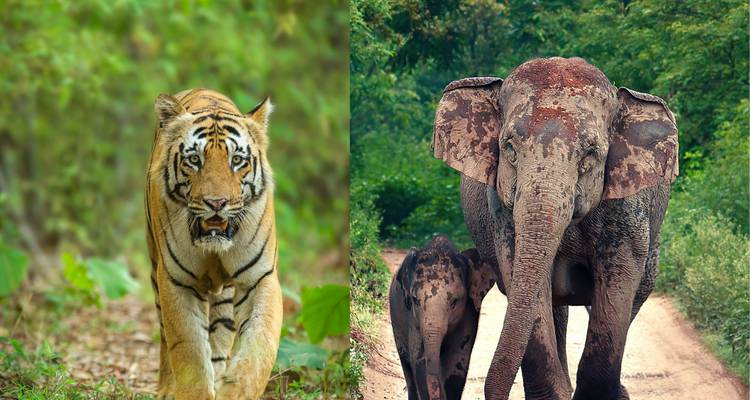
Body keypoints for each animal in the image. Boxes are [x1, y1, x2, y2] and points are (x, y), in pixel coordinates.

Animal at [145, 88, 282, 400]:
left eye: (237, 160)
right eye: (194, 159)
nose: (216, 203)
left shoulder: (260, 278)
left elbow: (260, 344)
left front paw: (238, 390)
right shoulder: (176, 281)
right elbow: (189, 353)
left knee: (219, 338)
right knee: (165, 336)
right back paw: (167, 388)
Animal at [389, 235, 496, 400]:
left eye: (454, 302)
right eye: (415, 300)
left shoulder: (468, 313)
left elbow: (457, 361)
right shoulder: (413, 319)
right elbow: (419, 361)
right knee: (407, 367)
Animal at [431, 57, 678, 400]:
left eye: (591, 153)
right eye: (509, 147)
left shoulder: (627, 209)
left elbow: (619, 282)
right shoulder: (502, 215)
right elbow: (525, 283)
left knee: (634, 299)